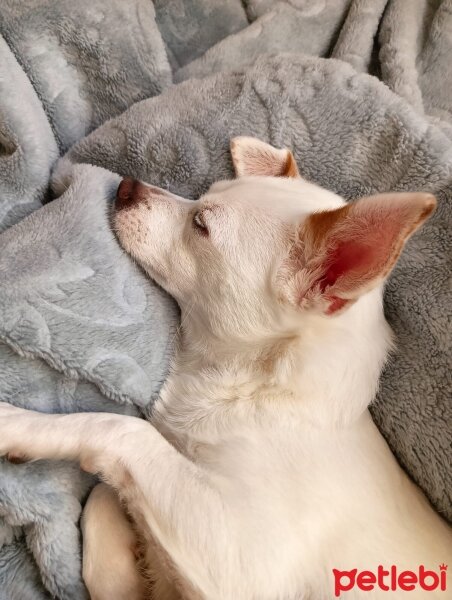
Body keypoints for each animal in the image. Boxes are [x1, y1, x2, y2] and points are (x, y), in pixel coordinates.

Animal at [0, 137, 452, 600]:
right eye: (202, 196)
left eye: (200, 223)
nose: (126, 185)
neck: (253, 384)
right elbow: (104, 504)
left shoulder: (239, 557)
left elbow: (121, 430)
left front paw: (18, 426)